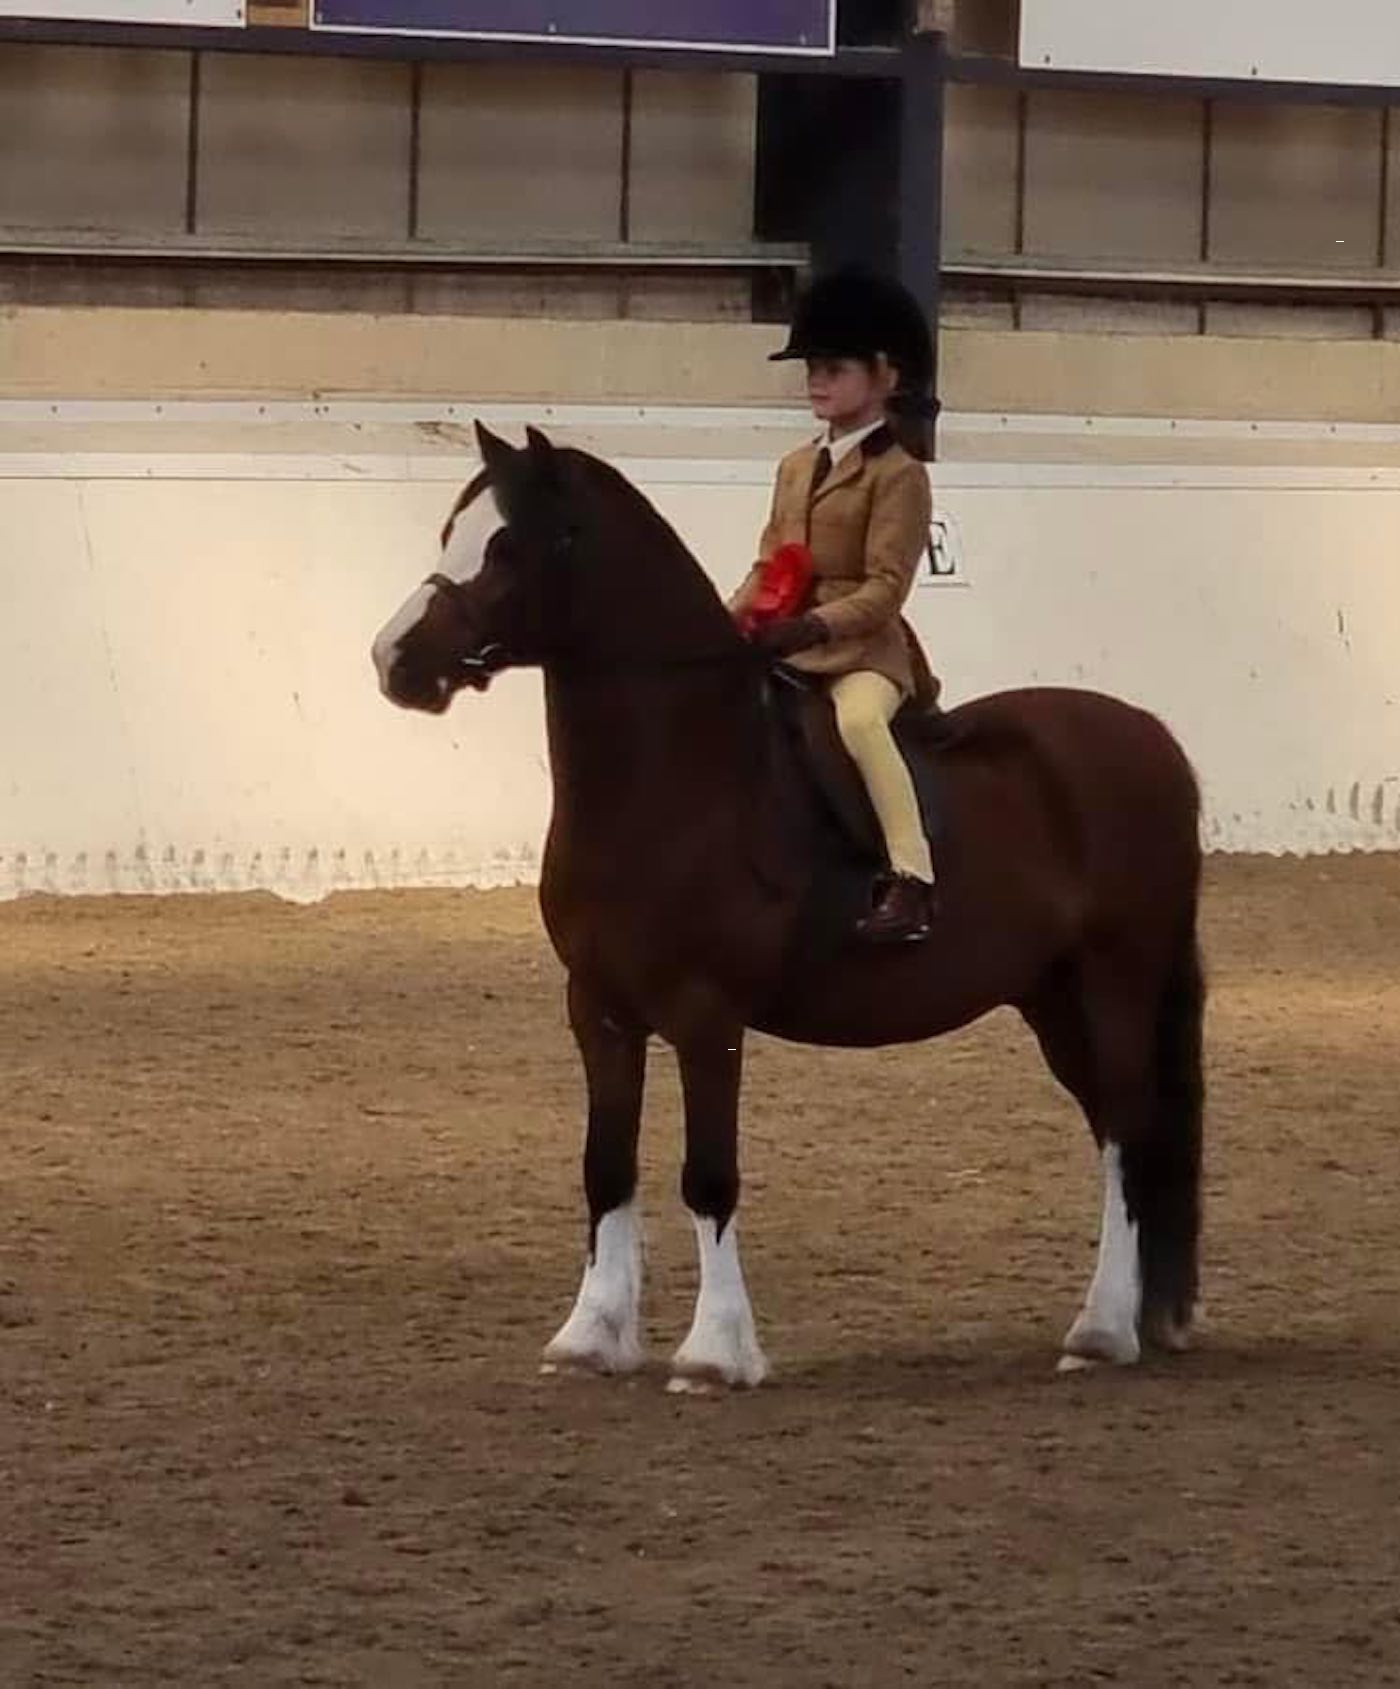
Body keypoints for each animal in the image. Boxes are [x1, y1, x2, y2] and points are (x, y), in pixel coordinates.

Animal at [371, 423, 1205, 1391]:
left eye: (508, 546)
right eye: (450, 533)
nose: (394, 660)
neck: (678, 781)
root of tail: (1152, 737)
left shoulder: (706, 1014)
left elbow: (708, 1176)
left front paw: (714, 1353)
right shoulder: (599, 1010)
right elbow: (605, 1167)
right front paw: (589, 1338)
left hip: (1115, 980)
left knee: (1130, 1130)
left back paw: (1101, 1330)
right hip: (1050, 995)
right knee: (1115, 1128)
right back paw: (1121, 1322)